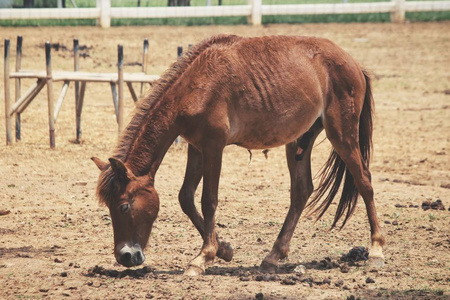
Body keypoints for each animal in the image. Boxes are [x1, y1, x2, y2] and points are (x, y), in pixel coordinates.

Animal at [92, 34, 386, 276]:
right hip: (299, 142)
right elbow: (186, 197)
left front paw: (203, 258)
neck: (197, 83)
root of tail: (353, 63)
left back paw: (376, 250)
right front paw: (223, 249)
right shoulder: (196, 148)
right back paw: (273, 257)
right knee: (301, 191)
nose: (125, 256)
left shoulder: (213, 147)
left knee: (364, 181)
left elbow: (208, 200)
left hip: (342, 135)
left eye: (124, 206)